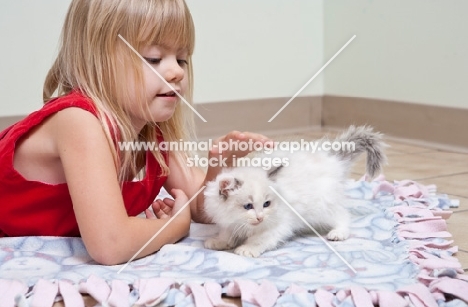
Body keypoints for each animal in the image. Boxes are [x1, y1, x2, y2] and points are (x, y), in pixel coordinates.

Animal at [203, 125, 386, 258]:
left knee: (342, 215)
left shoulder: (279, 225)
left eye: (266, 204)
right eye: (248, 206)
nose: (260, 217)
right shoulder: (229, 222)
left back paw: (338, 233)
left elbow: (260, 239)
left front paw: (247, 248)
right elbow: (227, 232)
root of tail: (332, 159)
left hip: (322, 206)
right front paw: (220, 241)